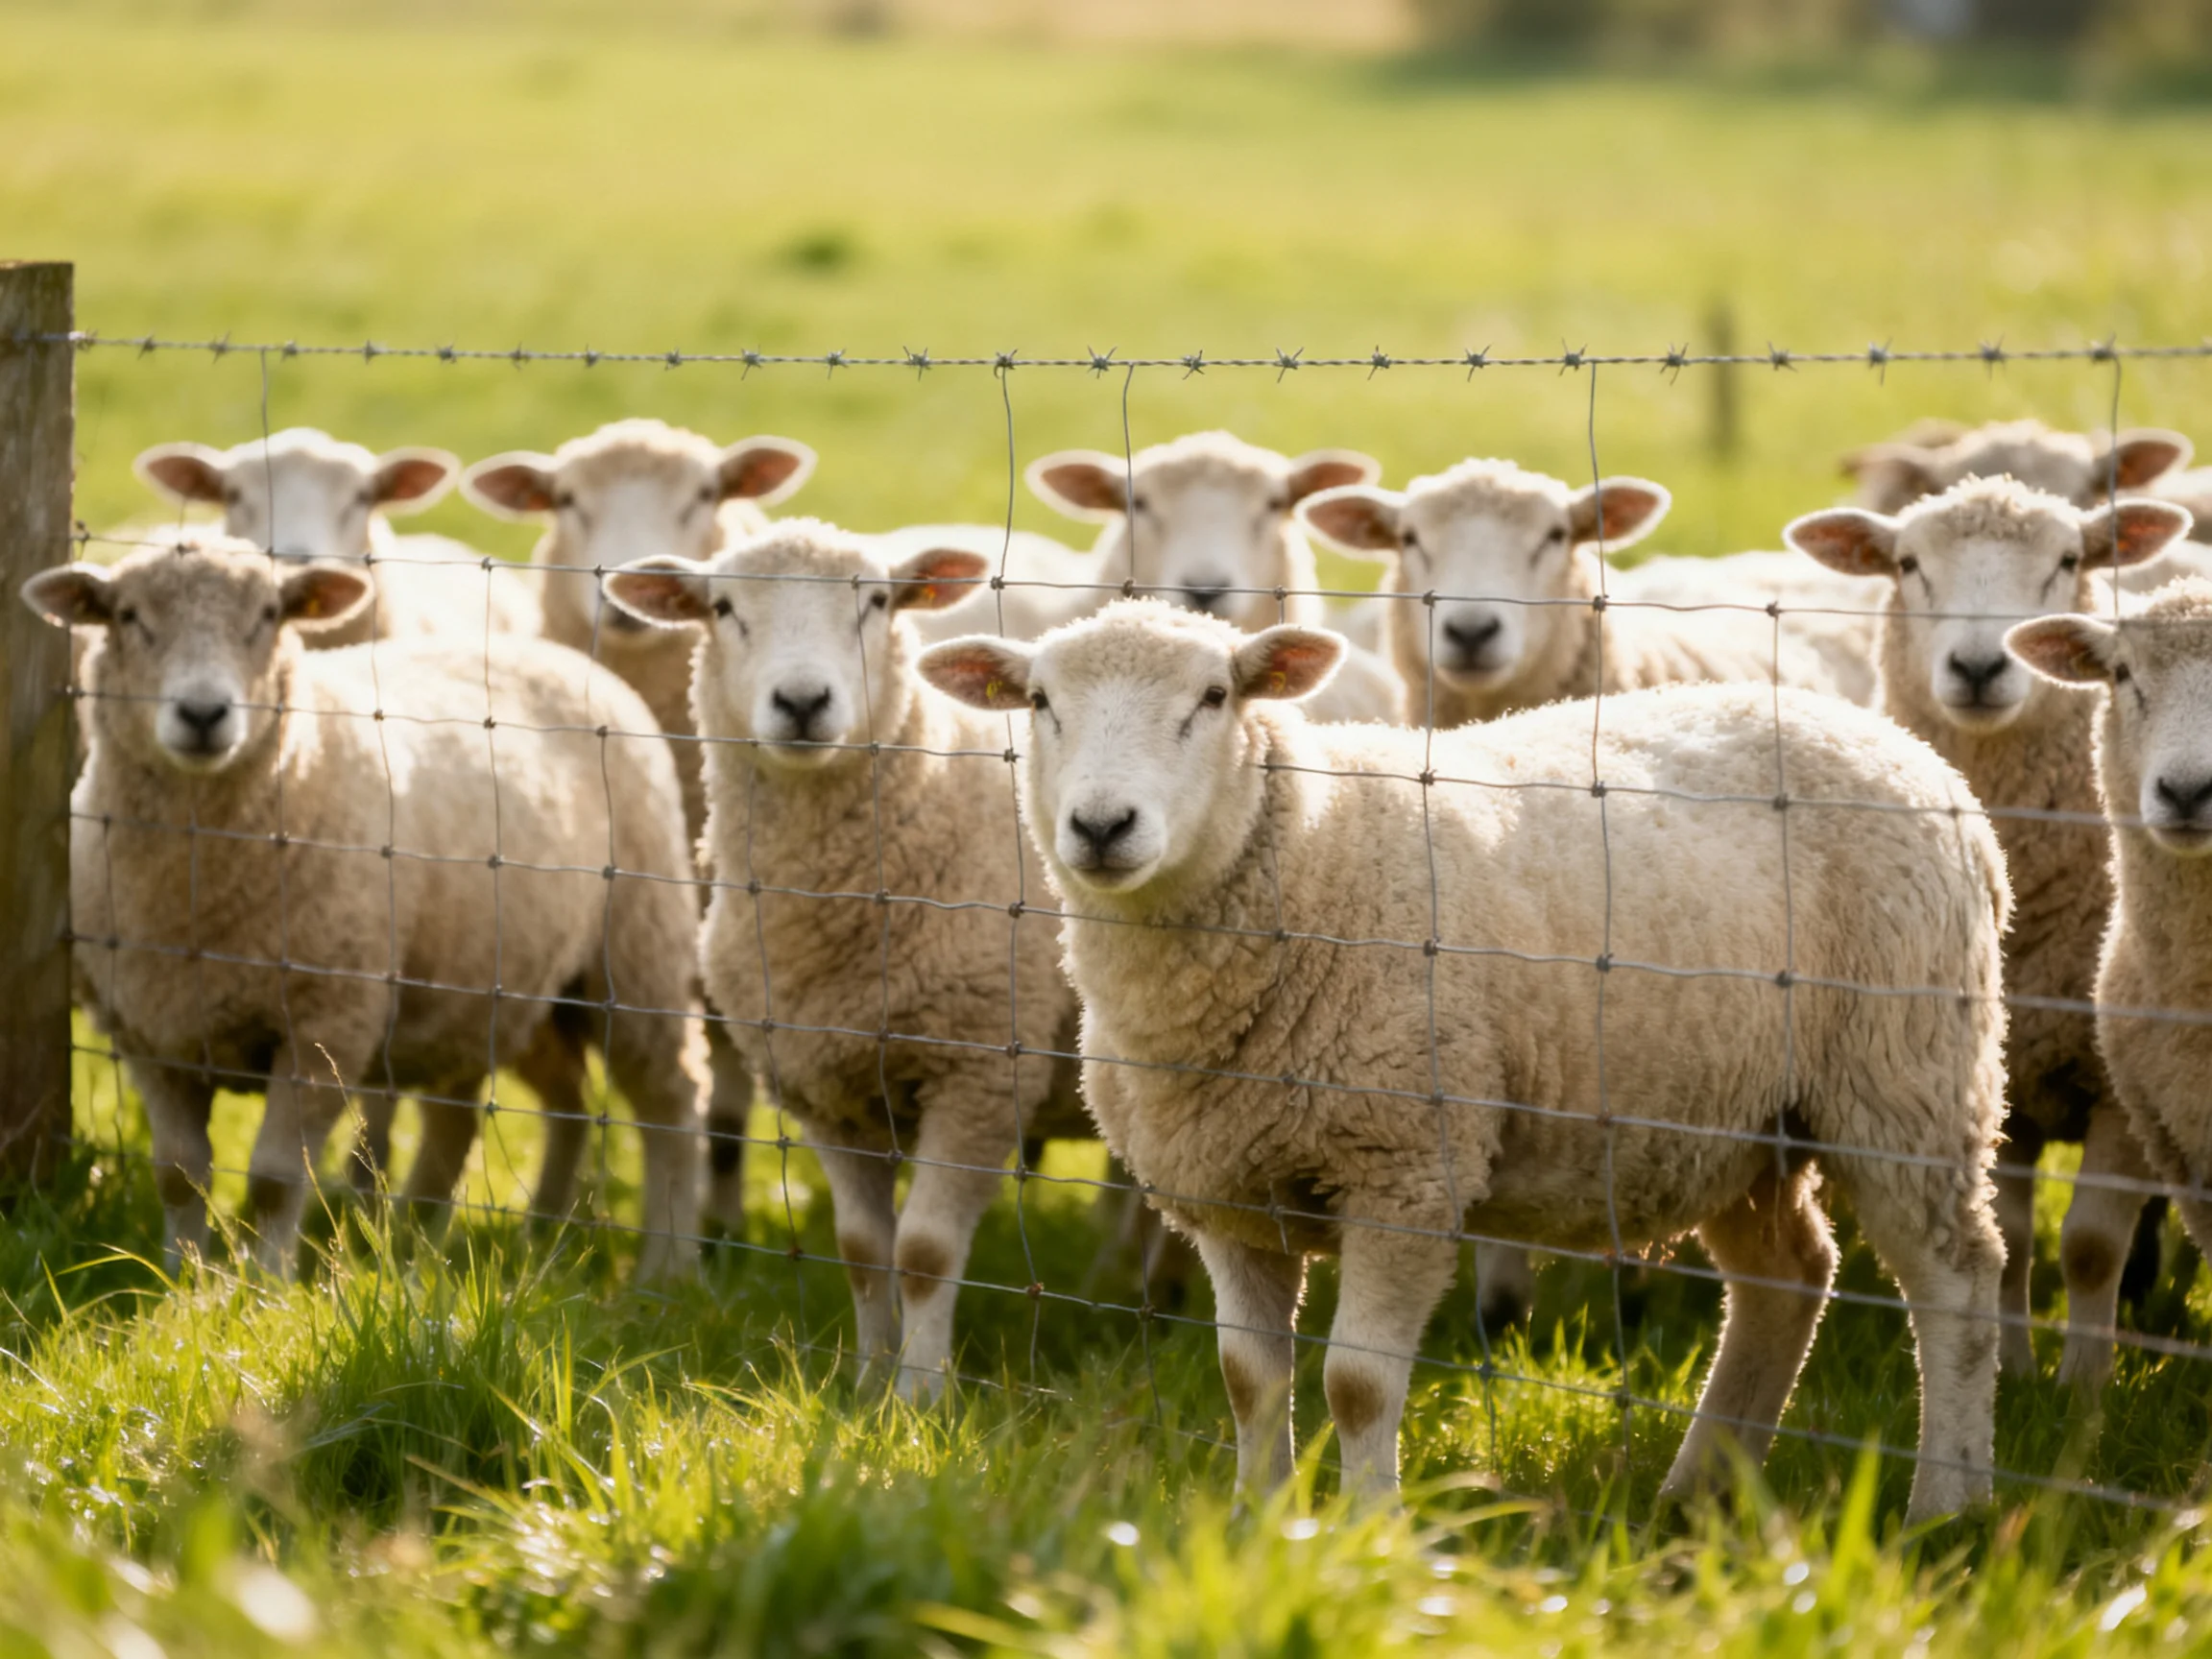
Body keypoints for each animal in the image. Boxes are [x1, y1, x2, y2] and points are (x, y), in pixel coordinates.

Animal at [24, 536, 708, 1282]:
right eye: (126, 615)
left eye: (269, 614)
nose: (203, 715)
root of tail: (552, 652)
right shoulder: (150, 1029)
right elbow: (178, 1174)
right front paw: (185, 1279)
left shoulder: (329, 1022)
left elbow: (274, 1177)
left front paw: (265, 1286)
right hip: (503, 982)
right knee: (528, 1106)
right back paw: (480, 1234)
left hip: (635, 951)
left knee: (670, 1102)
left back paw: (666, 1265)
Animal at [602, 518, 1088, 1398]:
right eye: (722, 607)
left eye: (877, 603)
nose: (802, 703)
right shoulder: (823, 1086)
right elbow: (863, 1252)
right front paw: (867, 1386)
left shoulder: (979, 1075)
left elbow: (923, 1252)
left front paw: (922, 1399)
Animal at [919, 602, 2007, 1522]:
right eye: (1041, 703)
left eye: (1215, 697)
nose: (1102, 827)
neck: (1307, 858)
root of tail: (1909, 751)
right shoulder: (1228, 1189)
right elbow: (1248, 1378)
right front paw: (1257, 1523)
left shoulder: (1404, 1168)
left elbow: (1357, 1384)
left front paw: (1369, 1532)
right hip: (1735, 1118)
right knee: (1789, 1279)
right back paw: (1696, 1490)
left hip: (1904, 1075)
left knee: (1957, 1282)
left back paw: (1946, 1507)